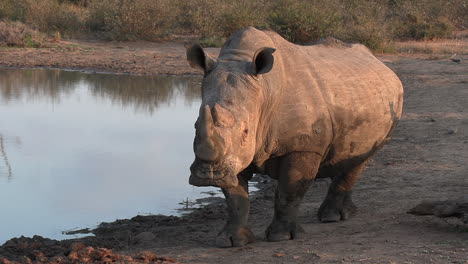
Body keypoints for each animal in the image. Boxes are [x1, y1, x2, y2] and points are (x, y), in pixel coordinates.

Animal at [185, 26, 404, 248]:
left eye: (246, 132)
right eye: (195, 126)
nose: (208, 175)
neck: (264, 89)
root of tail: (380, 62)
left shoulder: (303, 146)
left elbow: (289, 190)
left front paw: (281, 237)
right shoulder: (234, 155)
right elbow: (235, 197)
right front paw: (231, 241)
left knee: (362, 159)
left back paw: (333, 217)